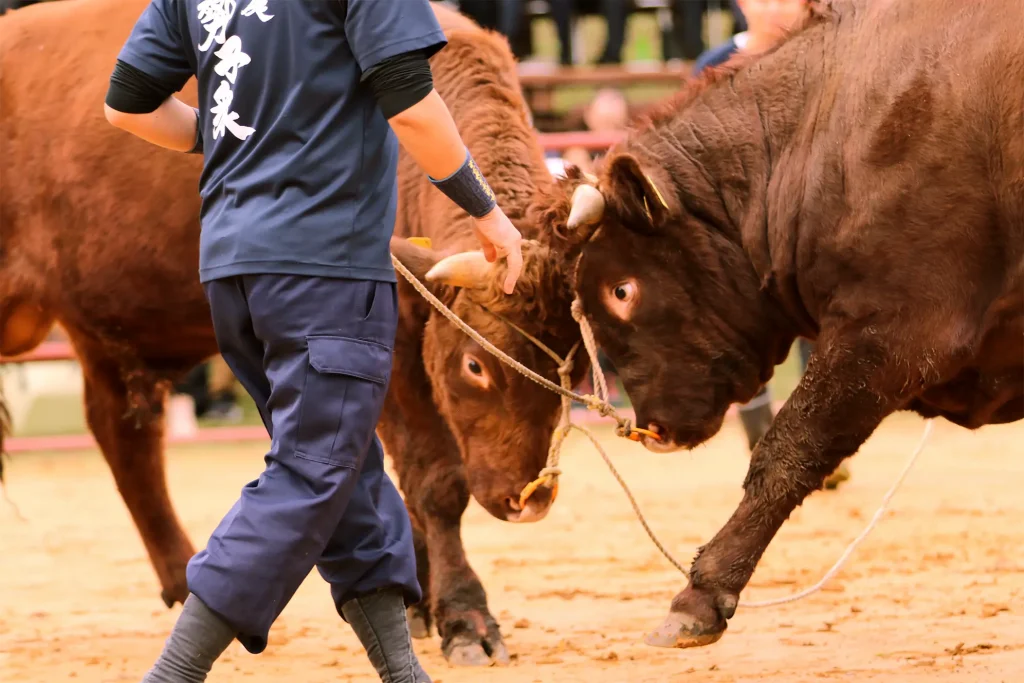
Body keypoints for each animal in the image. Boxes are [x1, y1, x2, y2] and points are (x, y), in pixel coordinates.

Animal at [528, 0, 1024, 651]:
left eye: (622, 290)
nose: (653, 428)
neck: (828, 126)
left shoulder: (889, 331)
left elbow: (790, 449)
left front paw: (700, 595)